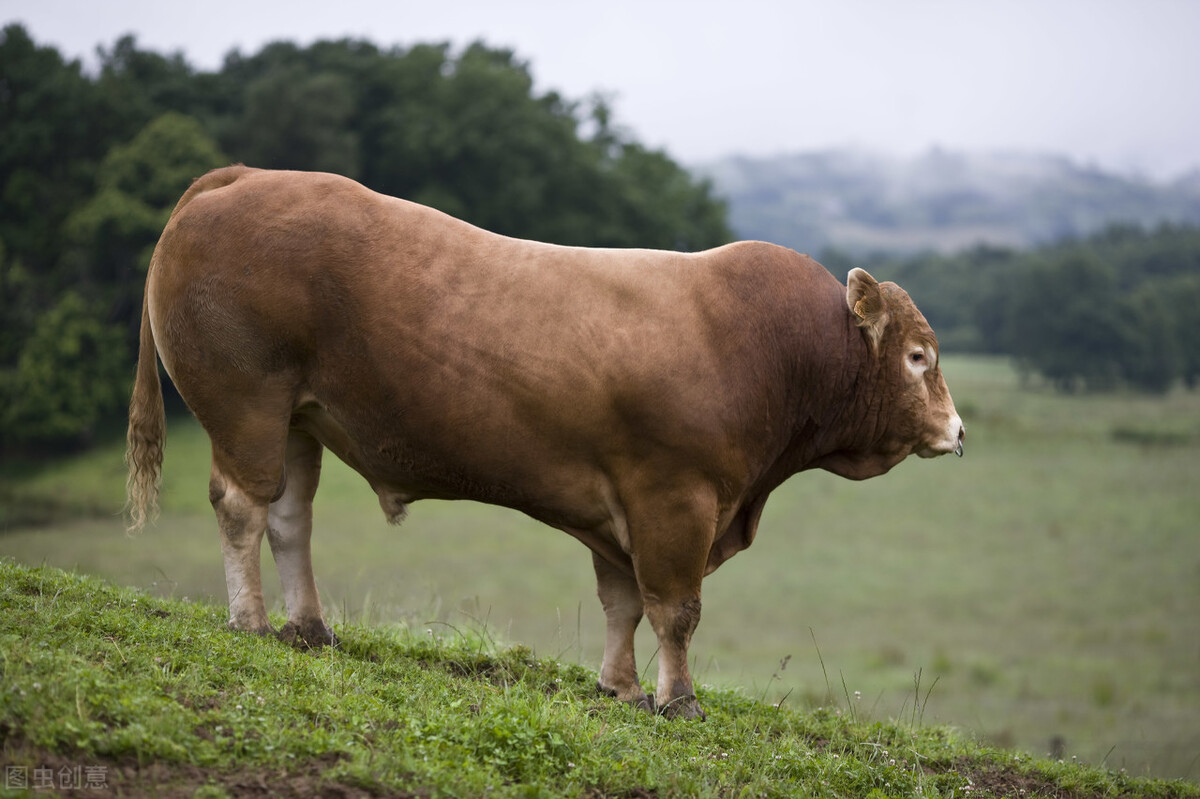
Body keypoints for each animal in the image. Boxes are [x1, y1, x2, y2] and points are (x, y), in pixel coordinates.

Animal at [124, 164, 964, 719]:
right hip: (247, 403)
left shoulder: (622, 506)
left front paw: (620, 686)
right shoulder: (675, 498)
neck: (776, 351)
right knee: (242, 506)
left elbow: (623, 602)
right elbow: (675, 607)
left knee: (289, 517)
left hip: (299, 417)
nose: (957, 431)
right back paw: (251, 620)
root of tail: (246, 175)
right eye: (919, 357)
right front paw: (678, 699)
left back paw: (309, 626)